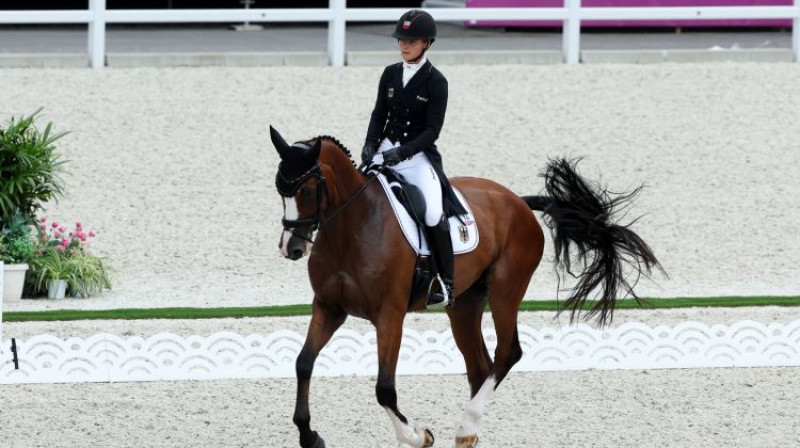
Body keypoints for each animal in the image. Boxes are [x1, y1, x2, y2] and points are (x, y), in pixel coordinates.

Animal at [270, 127, 664, 448]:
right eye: (279, 188)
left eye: (307, 189)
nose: (291, 247)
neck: (352, 227)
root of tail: (518, 202)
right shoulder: (329, 307)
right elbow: (303, 363)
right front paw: (309, 435)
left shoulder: (389, 316)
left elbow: (384, 389)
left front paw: (420, 436)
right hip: (463, 304)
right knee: (480, 367)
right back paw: (469, 433)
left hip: (506, 291)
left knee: (507, 354)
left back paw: (465, 427)